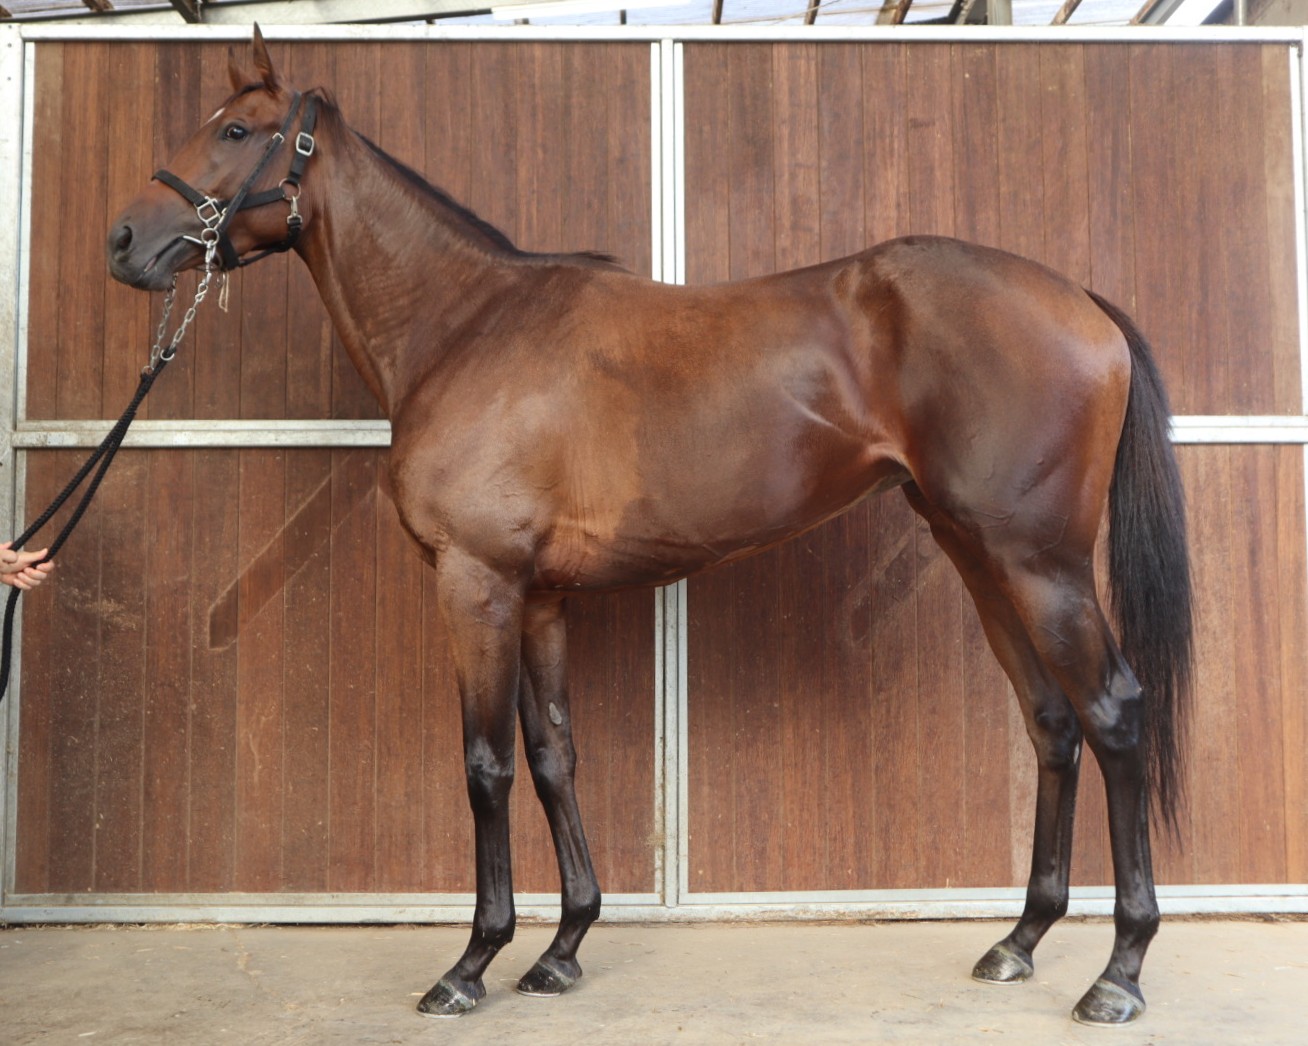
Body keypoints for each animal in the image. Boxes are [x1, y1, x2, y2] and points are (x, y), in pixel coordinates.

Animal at [105, 30, 1192, 1027]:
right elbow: (554, 755)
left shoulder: (476, 582)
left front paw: (471, 963)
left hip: (1040, 565)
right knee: (1051, 722)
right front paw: (562, 948)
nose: (122, 240)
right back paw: (1020, 940)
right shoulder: (540, 596)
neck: (464, 326)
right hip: (979, 556)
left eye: (235, 130)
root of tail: (1081, 301)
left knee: (1113, 713)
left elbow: (487, 766)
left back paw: (1119, 972)